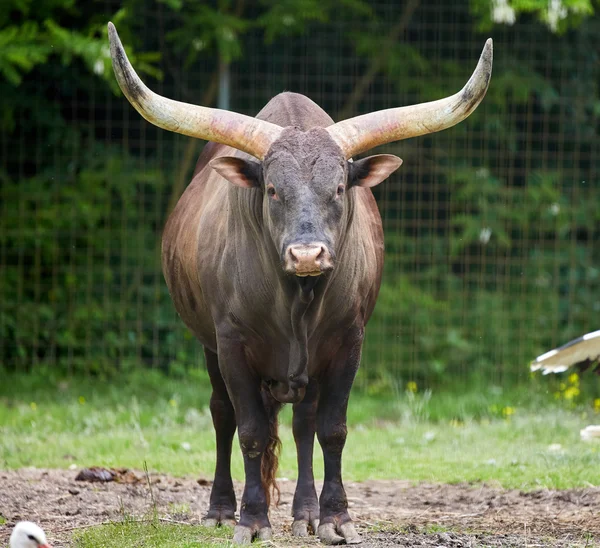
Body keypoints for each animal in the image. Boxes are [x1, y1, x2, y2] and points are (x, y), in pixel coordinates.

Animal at [108, 21, 492, 544]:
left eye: (339, 187)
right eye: (272, 189)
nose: (308, 254)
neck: (297, 300)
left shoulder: (349, 341)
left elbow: (331, 429)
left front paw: (334, 517)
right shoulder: (230, 344)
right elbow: (249, 430)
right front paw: (251, 521)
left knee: (303, 423)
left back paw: (305, 512)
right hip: (208, 346)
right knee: (222, 414)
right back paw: (220, 508)